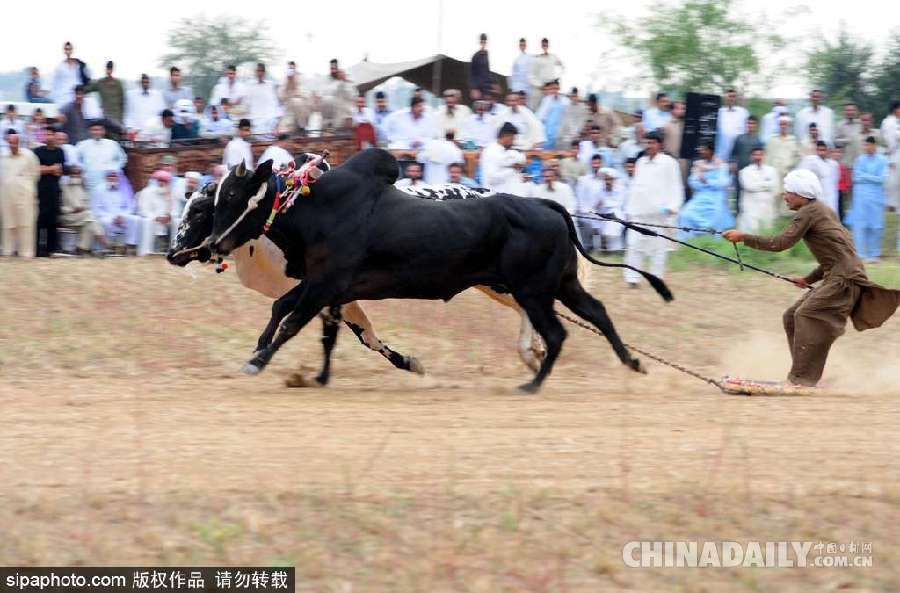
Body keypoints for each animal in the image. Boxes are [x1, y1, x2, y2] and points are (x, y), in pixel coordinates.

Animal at [211, 147, 672, 394]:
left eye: (232, 194)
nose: (214, 244)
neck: (318, 208)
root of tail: (546, 205)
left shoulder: (325, 285)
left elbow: (292, 323)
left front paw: (258, 362)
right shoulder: (325, 287)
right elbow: (287, 314)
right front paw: (260, 353)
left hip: (534, 291)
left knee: (557, 333)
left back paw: (533, 383)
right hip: (561, 285)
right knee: (597, 313)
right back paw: (632, 363)